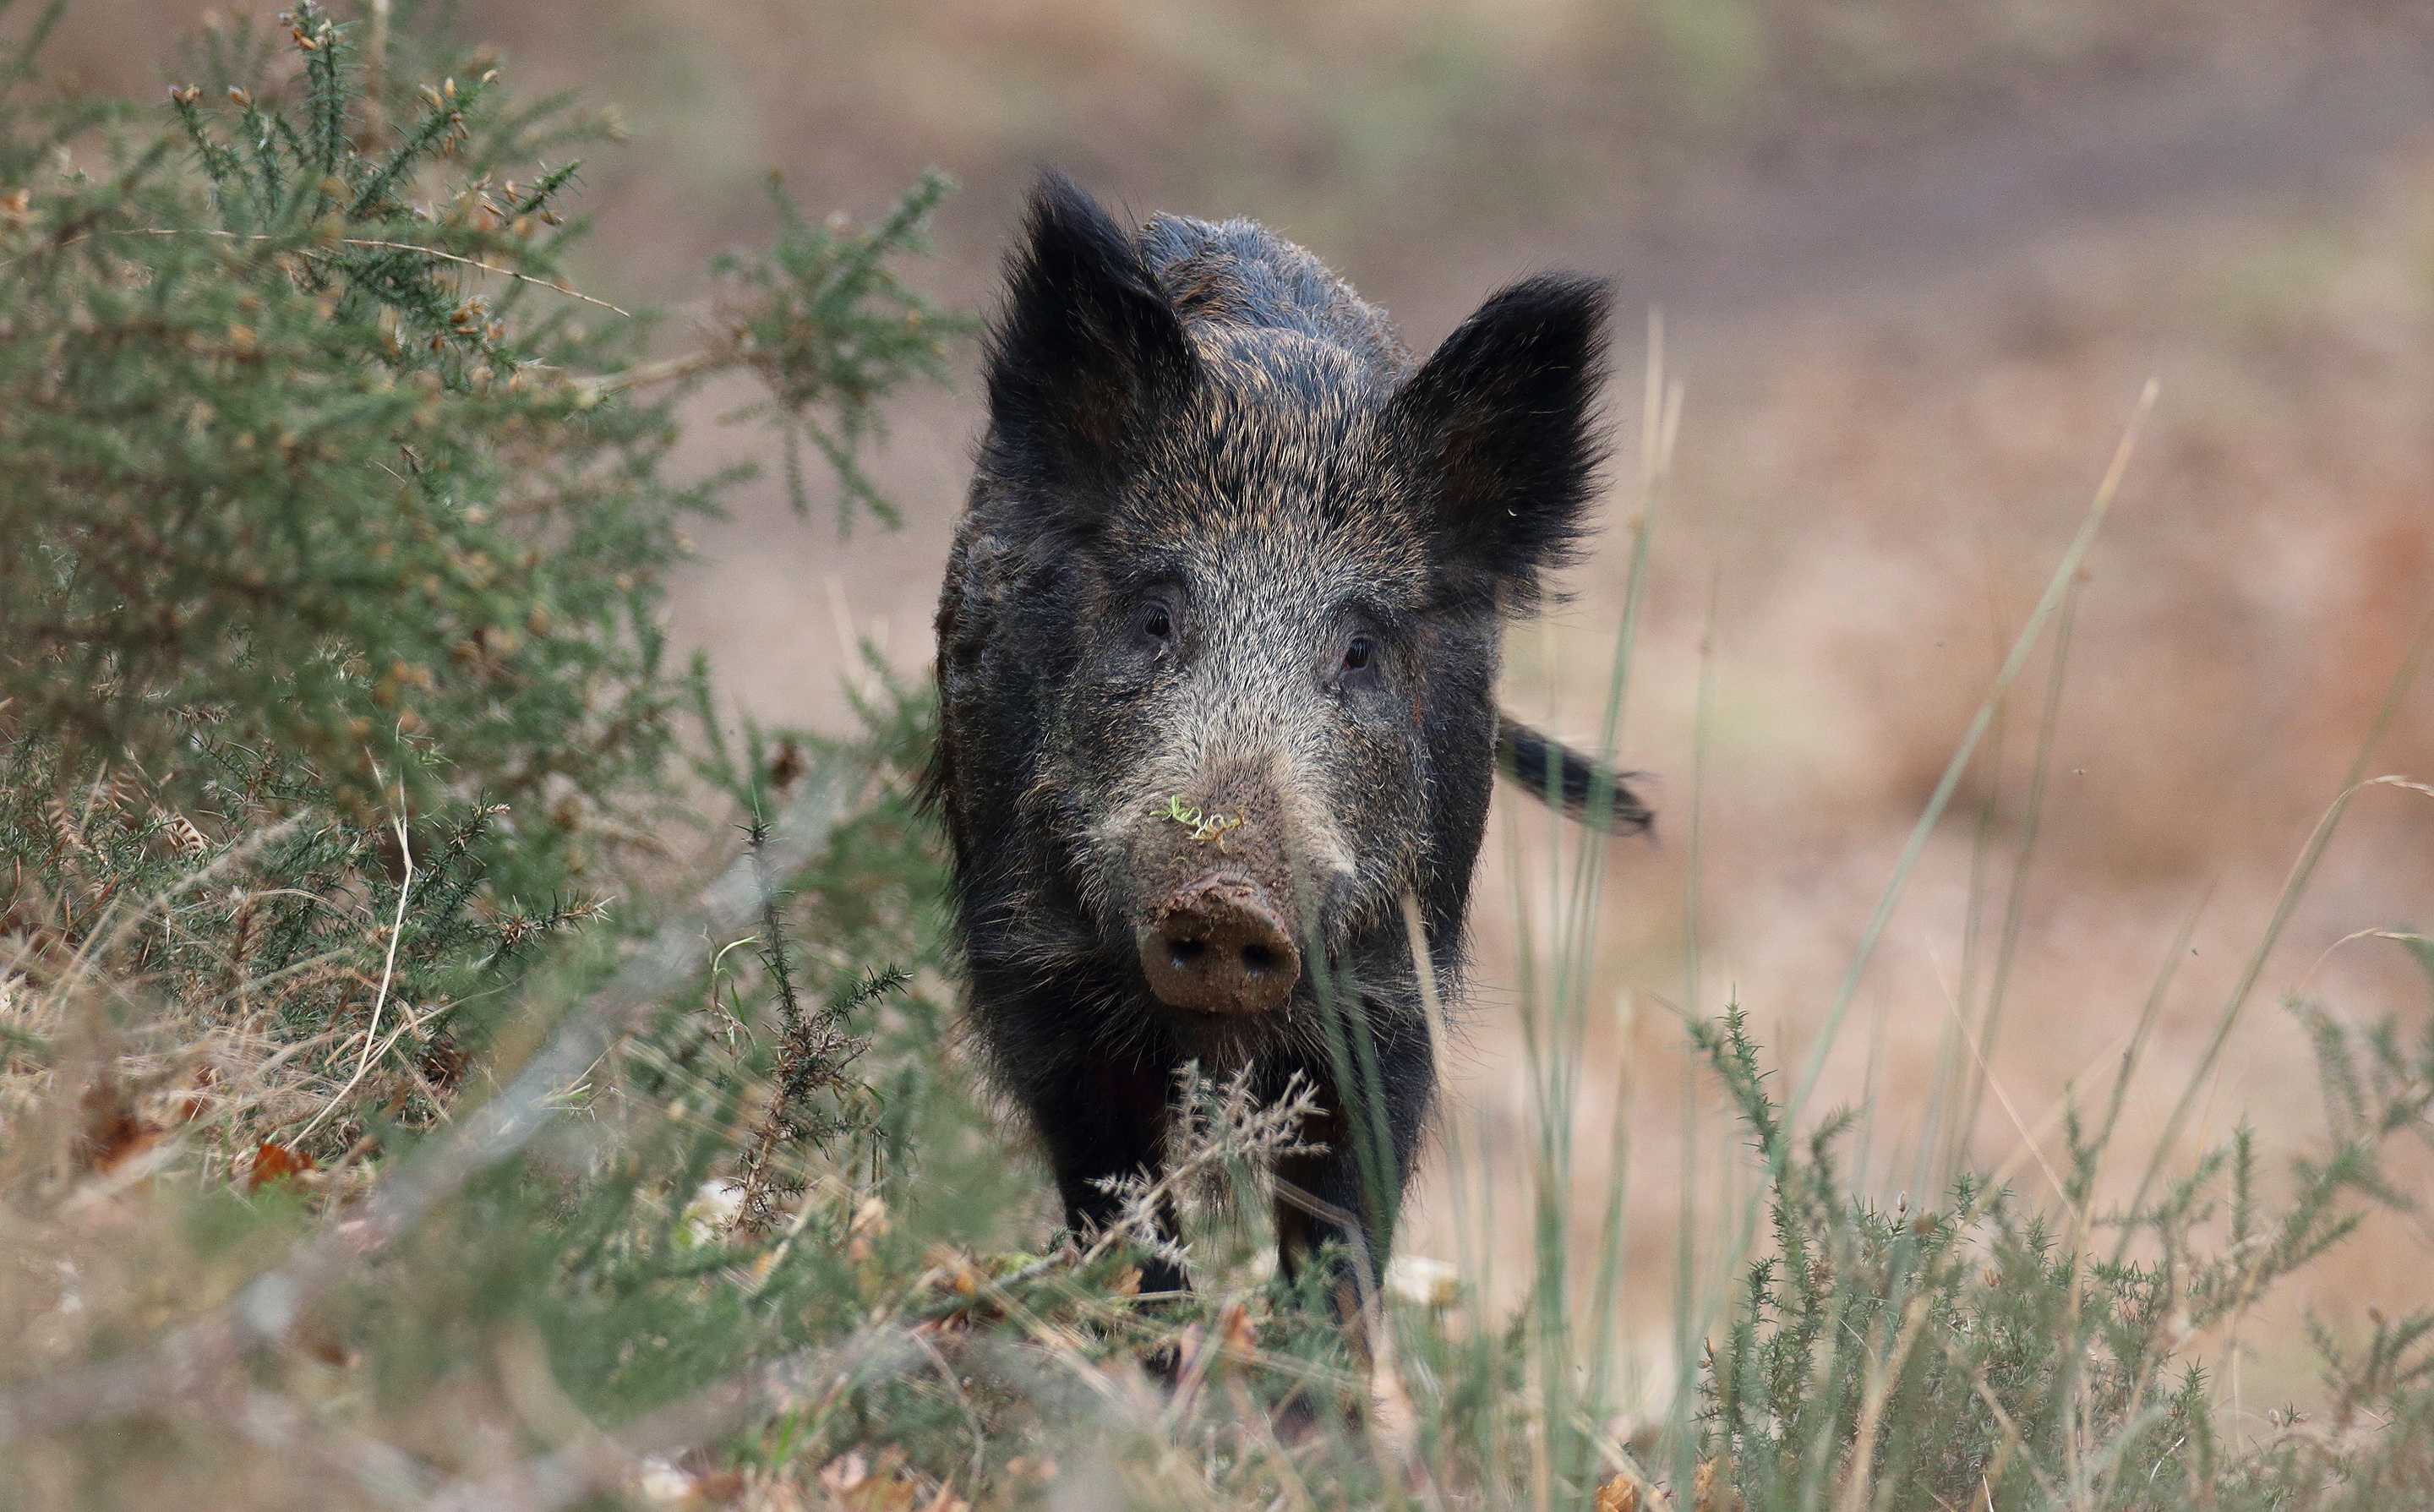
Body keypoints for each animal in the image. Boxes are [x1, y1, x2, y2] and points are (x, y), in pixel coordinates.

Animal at [928, 172, 1649, 1321]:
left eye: (1359, 649)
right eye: (1156, 617)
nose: (1226, 898)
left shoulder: (1392, 991)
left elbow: (1342, 1227)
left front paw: (1310, 1372)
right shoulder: (1034, 971)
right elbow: (1123, 1208)